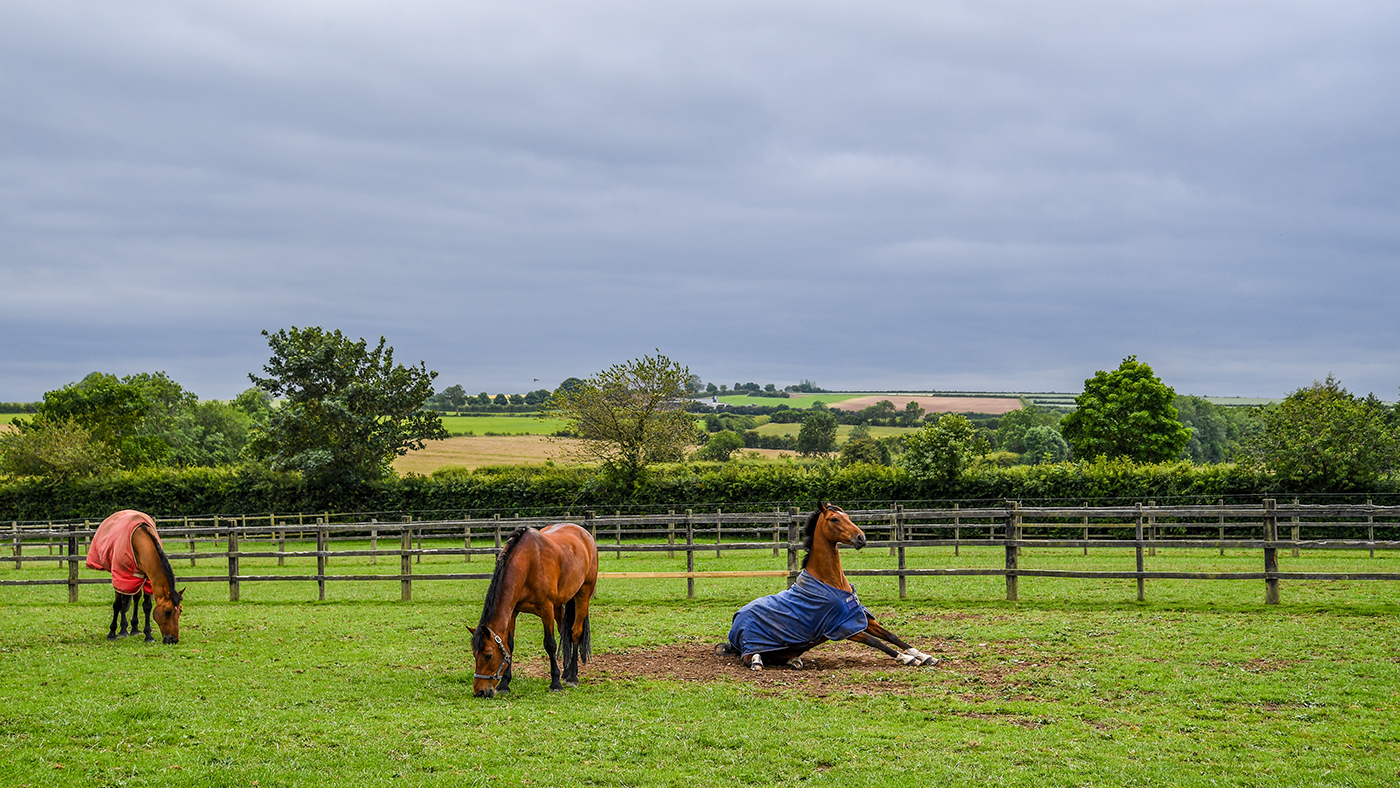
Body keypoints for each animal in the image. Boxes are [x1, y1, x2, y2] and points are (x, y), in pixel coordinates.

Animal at [85, 510, 185, 644]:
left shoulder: (148, 580)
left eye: (180, 611)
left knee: (136, 598)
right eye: (167, 612)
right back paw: (123, 630)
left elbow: (147, 606)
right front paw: (112, 633)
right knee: (124, 601)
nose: (173, 640)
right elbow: (118, 604)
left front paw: (148, 635)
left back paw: (134, 628)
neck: (141, 541)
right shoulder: (120, 577)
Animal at [469, 523, 598, 698]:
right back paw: (566, 672)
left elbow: (550, 644)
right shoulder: (513, 612)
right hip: (559, 605)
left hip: (583, 594)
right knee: (564, 632)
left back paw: (572, 675)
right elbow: (510, 645)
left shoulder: (546, 609)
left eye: (488, 655)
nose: (480, 692)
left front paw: (555, 683)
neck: (528, 563)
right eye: (475, 655)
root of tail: (585, 533)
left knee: (575, 632)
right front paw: (504, 683)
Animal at [721, 502, 937, 670]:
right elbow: (877, 642)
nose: (861, 538)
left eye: (847, 516)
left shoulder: (861, 619)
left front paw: (925, 656)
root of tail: (735, 623)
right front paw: (907, 658)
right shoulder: (844, 628)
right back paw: (757, 661)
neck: (830, 582)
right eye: (834, 519)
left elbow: (892, 636)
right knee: (749, 656)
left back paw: (795, 661)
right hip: (753, 645)